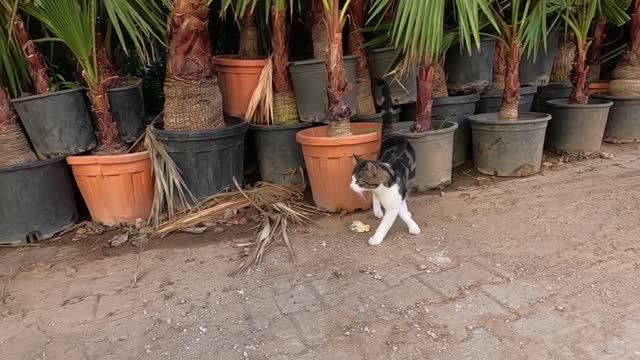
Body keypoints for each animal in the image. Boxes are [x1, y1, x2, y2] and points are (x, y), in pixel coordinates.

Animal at [350, 79, 420, 246]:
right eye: (352, 179)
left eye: (358, 181)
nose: (350, 187)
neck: (381, 189)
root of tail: (393, 135)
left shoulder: (395, 201)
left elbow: (392, 218)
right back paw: (378, 210)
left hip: (411, 178)